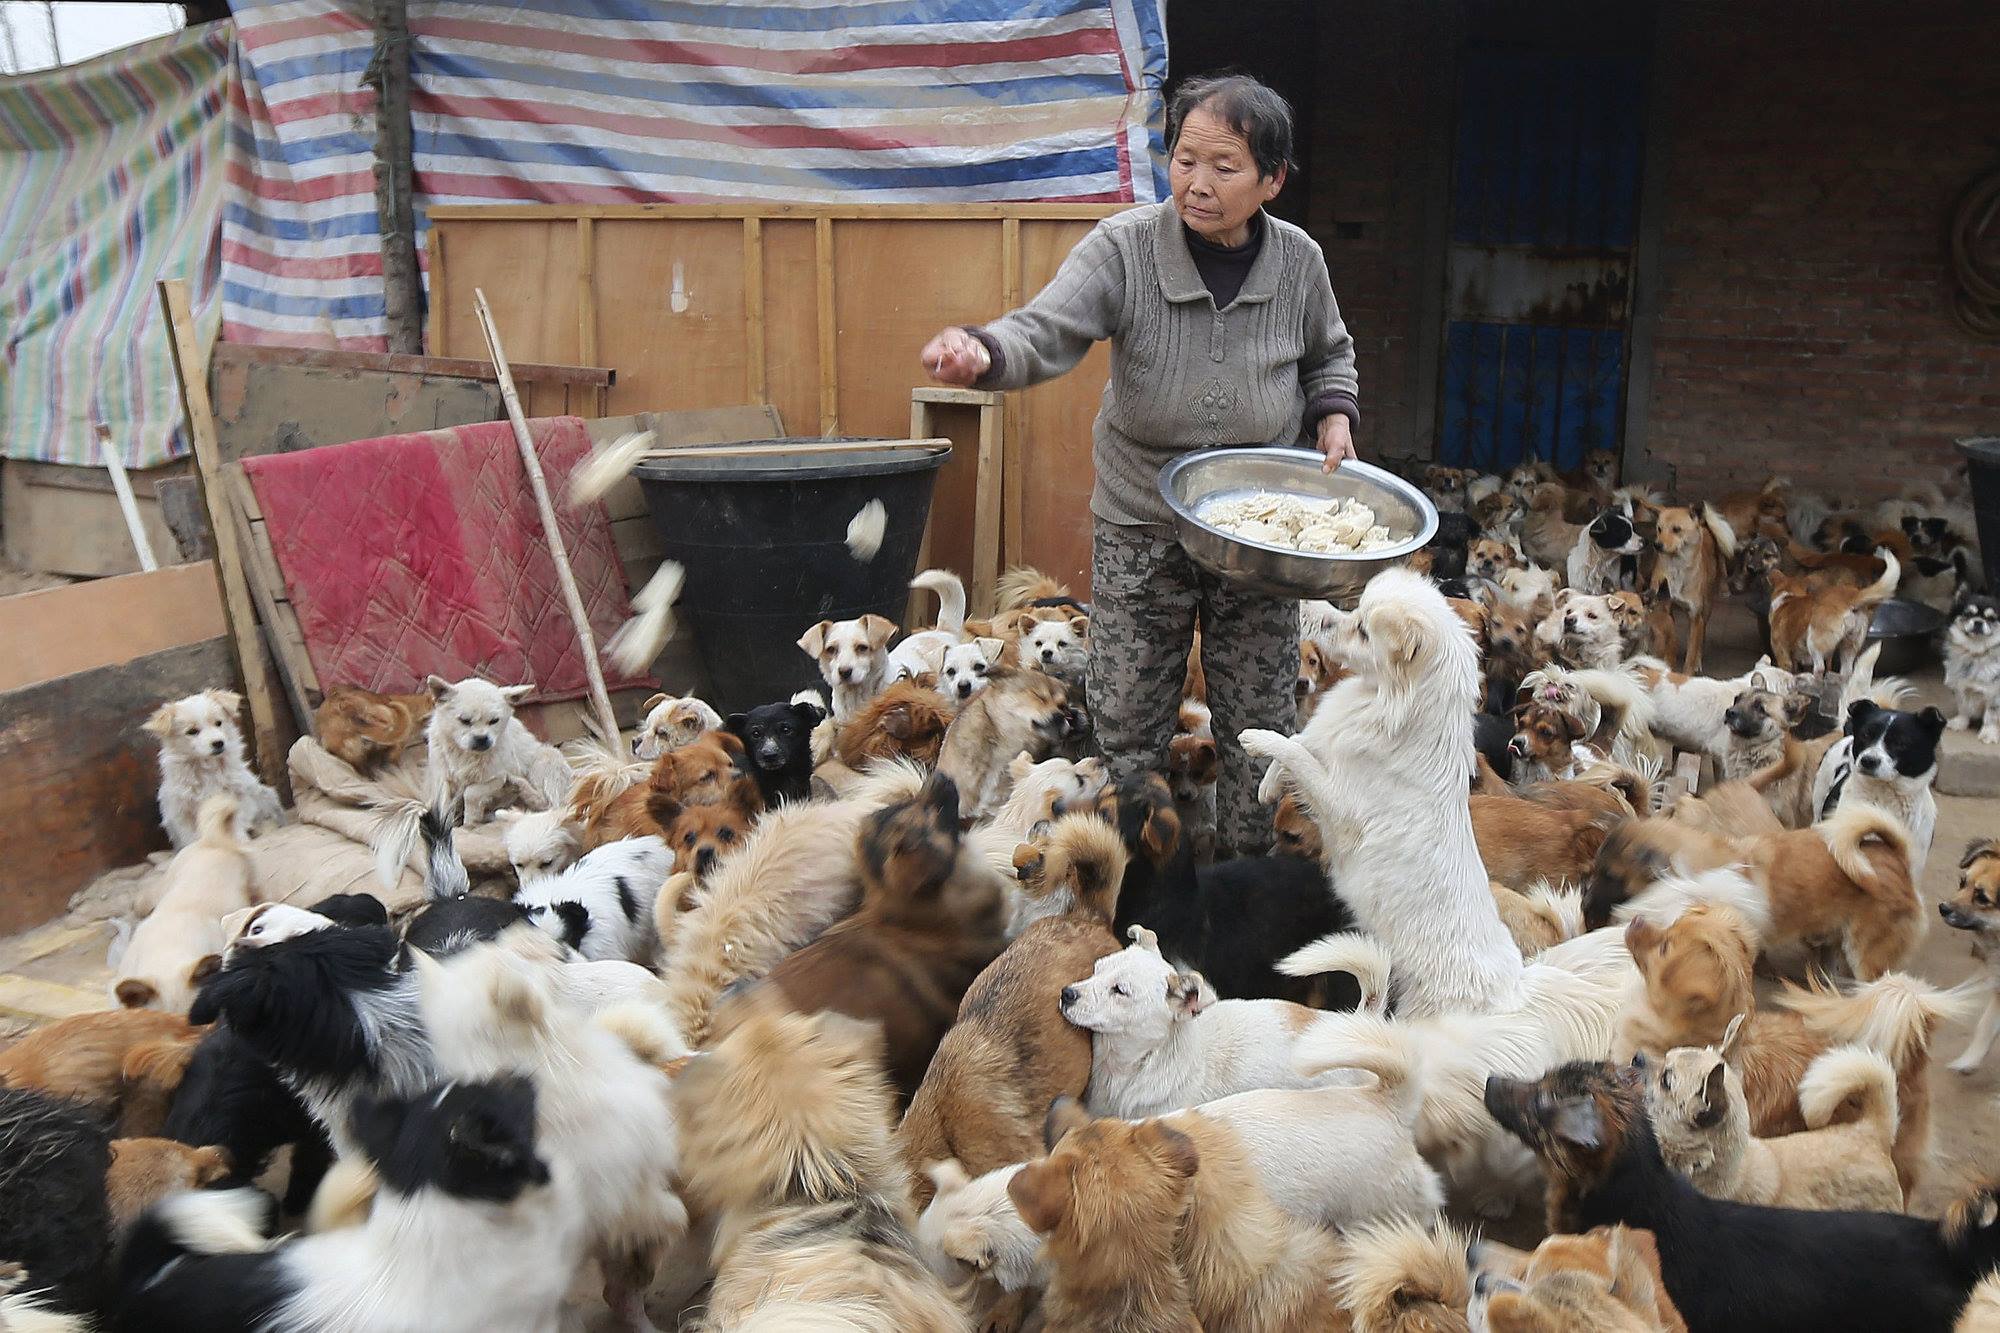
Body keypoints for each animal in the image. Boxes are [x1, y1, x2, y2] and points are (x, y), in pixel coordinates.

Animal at [145, 684, 284, 840]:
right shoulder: (182, 812)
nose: (218, 743)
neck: (208, 767)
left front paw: (239, 839)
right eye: (192, 731)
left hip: (264, 795)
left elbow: (235, 823)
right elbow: (191, 836)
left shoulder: (238, 795)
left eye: (218, 723)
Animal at [426, 676, 572, 820]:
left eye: (494, 721)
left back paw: (518, 785)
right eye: (465, 720)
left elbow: (471, 793)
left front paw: (471, 819)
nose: (482, 738)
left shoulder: (496, 778)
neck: (467, 754)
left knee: (548, 804)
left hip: (546, 758)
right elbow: (446, 805)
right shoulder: (443, 781)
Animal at [1240, 564, 1520, 1012]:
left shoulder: (1336, 806)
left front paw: (1258, 740)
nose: (1322, 622)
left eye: (1364, 632)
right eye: (1356, 613)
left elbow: (1296, 751)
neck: (1385, 700)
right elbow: (1304, 742)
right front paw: (1269, 784)